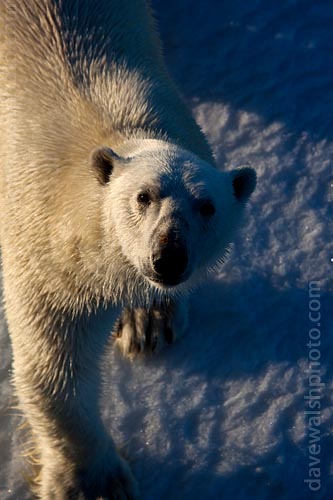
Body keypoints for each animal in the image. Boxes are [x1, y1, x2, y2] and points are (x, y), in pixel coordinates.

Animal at [0, 0, 254, 500]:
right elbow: (55, 366)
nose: (169, 256)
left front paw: (150, 320)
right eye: (143, 196)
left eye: (207, 205)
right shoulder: (45, 256)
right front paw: (93, 482)